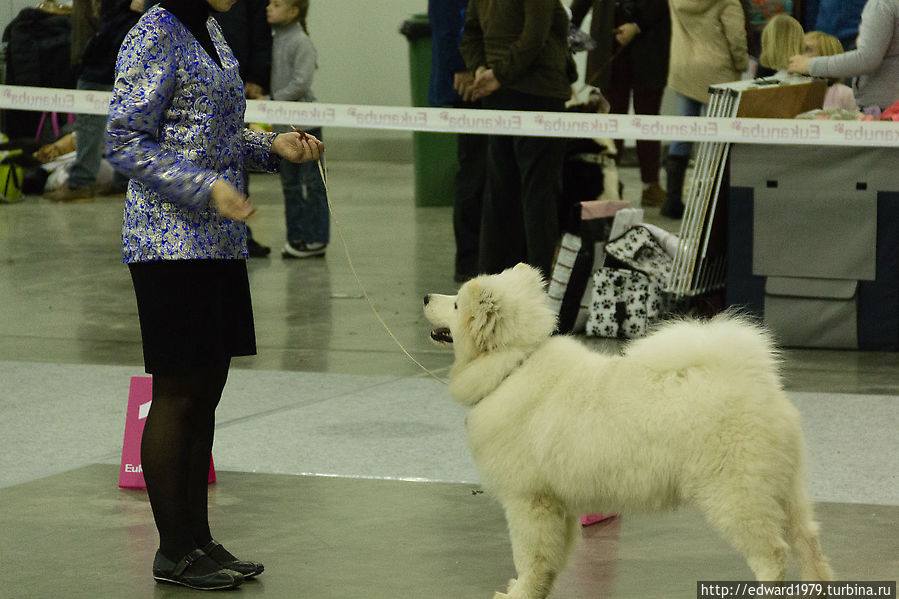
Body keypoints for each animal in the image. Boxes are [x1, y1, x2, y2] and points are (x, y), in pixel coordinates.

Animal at [426, 264, 832, 599]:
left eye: (457, 304)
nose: (428, 297)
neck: (513, 366)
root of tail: (756, 385)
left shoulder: (529, 501)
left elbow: (531, 559)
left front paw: (519, 594)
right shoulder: (558, 506)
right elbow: (550, 563)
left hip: (736, 497)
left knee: (773, 555)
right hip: (784, 491)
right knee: (809, 544)